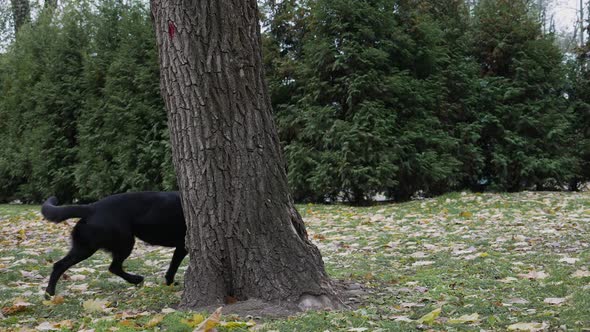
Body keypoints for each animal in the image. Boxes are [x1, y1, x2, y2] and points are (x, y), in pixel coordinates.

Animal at [41, 191, 187, 296]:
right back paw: (136, 279)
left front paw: (169, 283)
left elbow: (172, 268)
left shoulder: (181, 248)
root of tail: (92, 207)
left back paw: (49, 294)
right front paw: (171, 284)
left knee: (59, 265)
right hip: (124, 243)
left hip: (83, 247)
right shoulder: (182, 247)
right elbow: (173, 267)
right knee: (114, 267)